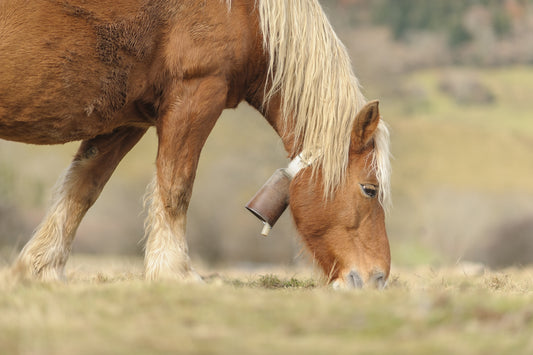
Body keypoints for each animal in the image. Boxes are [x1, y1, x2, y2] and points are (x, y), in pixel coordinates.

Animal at [0, 0, 390, 290]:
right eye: (369, 190)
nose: (377, 279)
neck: (248, 14)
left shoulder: (125, 121)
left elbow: (82, 188)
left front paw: (42, 268)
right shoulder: (197, 94)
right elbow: (176, 186)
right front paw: (175, 272)